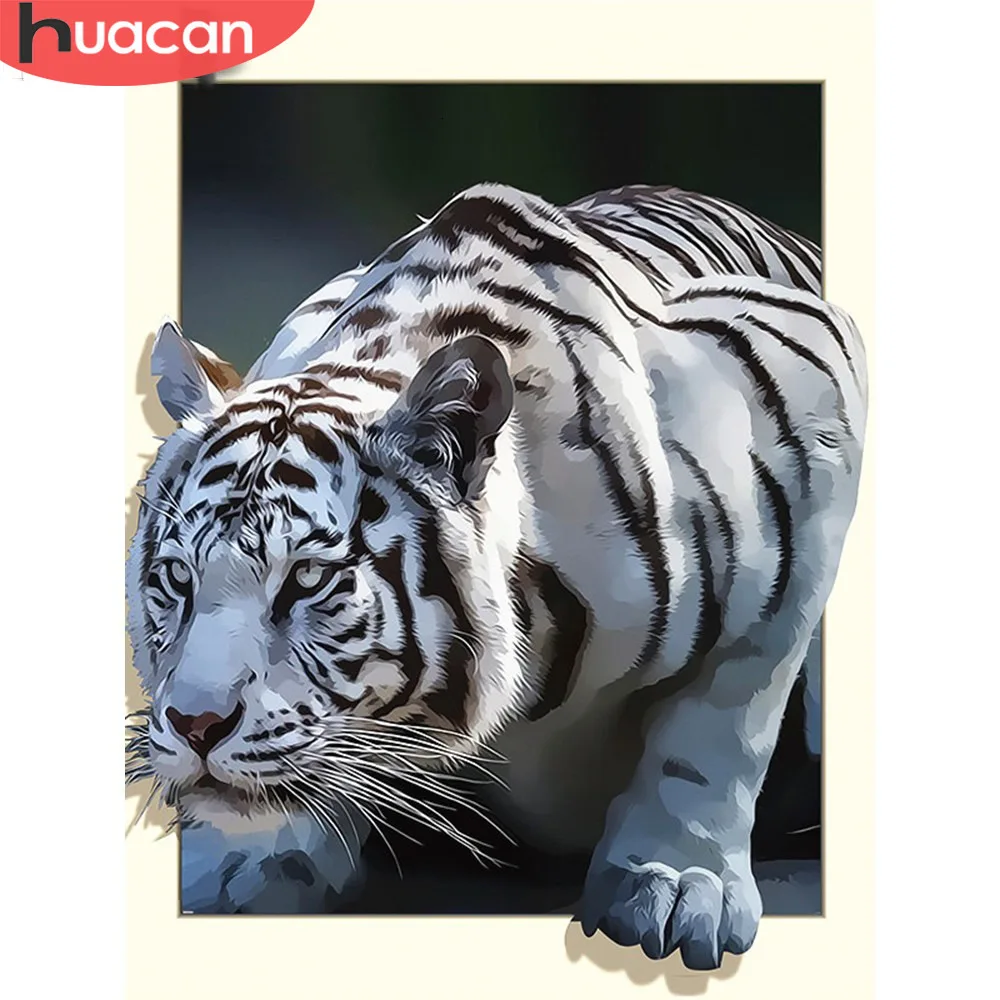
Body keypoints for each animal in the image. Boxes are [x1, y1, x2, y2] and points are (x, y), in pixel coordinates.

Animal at [126, 182, 865, 970]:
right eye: (177, 578)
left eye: (307, 579)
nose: (196, 726)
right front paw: (249, 852)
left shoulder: (812, 405)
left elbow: (724, 716)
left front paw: (673, 882)